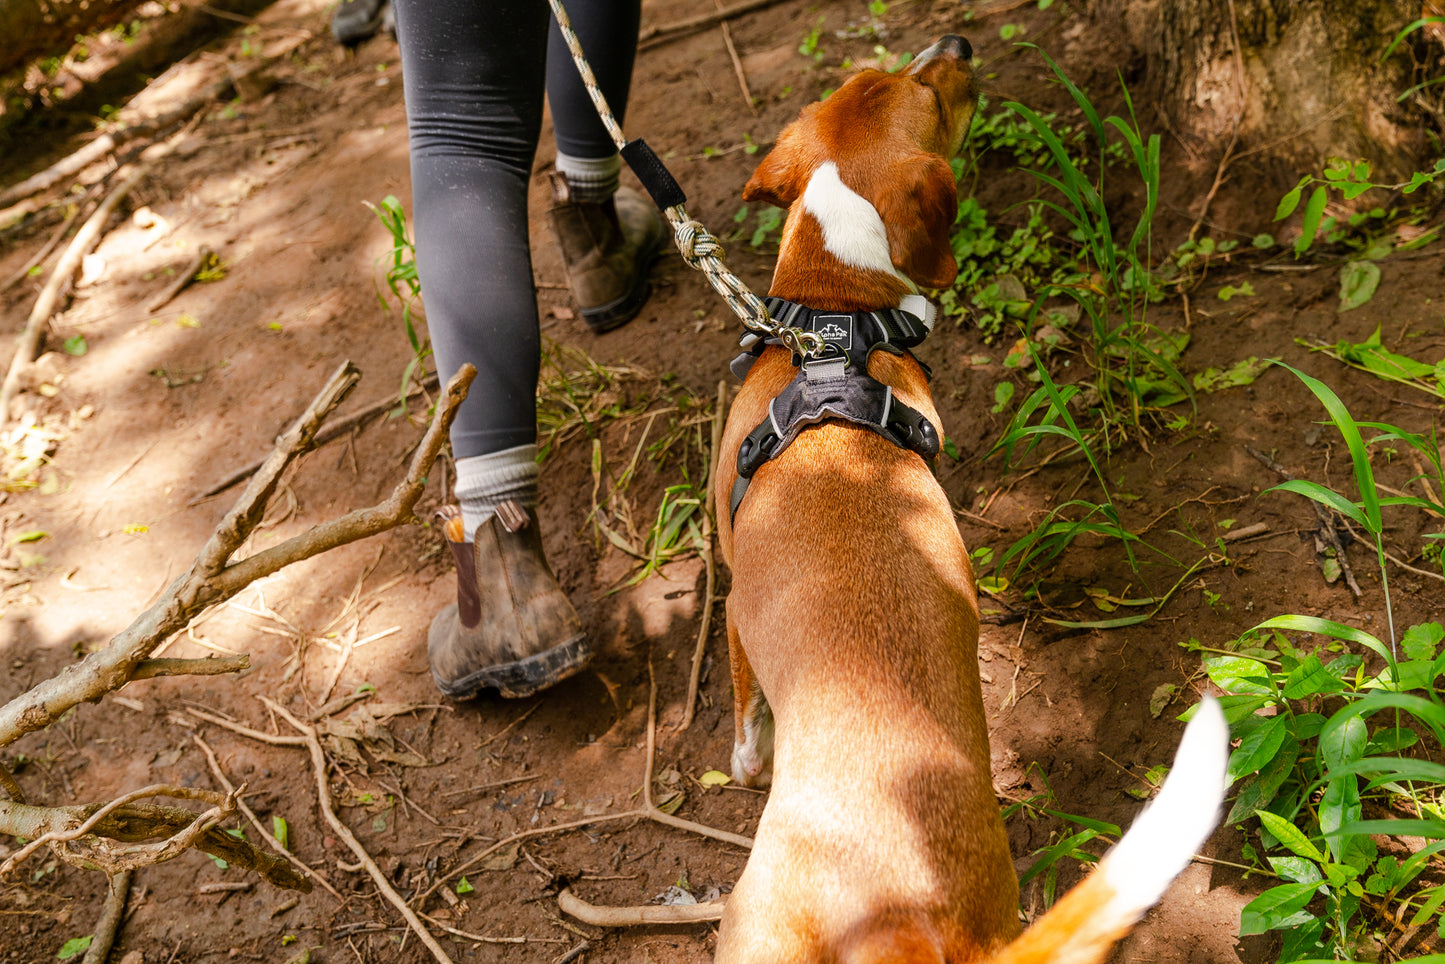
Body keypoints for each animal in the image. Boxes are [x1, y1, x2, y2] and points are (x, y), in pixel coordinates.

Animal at [708, 33, 1219, 959]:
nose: (956, 41)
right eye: (876, 79)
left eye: (917, 86)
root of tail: (908, 913)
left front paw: (742, 763)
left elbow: (741, 715)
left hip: (748, 926)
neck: (831, 329)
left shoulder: (732, 605)